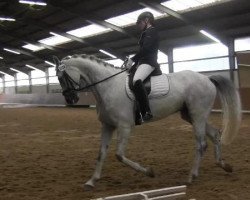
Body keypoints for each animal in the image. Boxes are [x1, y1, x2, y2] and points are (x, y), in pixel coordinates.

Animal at [53, 54, 241, 189]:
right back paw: (224, 165)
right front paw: (91, 181)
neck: (108, 86)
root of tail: (207, 79)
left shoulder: (124, 126)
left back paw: (191, 177)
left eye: (62, 77)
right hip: (190, 116)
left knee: (201, 144)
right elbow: (101, 153)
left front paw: (149, 172)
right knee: (215, 134)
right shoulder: (107, 126)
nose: (70, 99)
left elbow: (119, 155)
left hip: (198, 115)